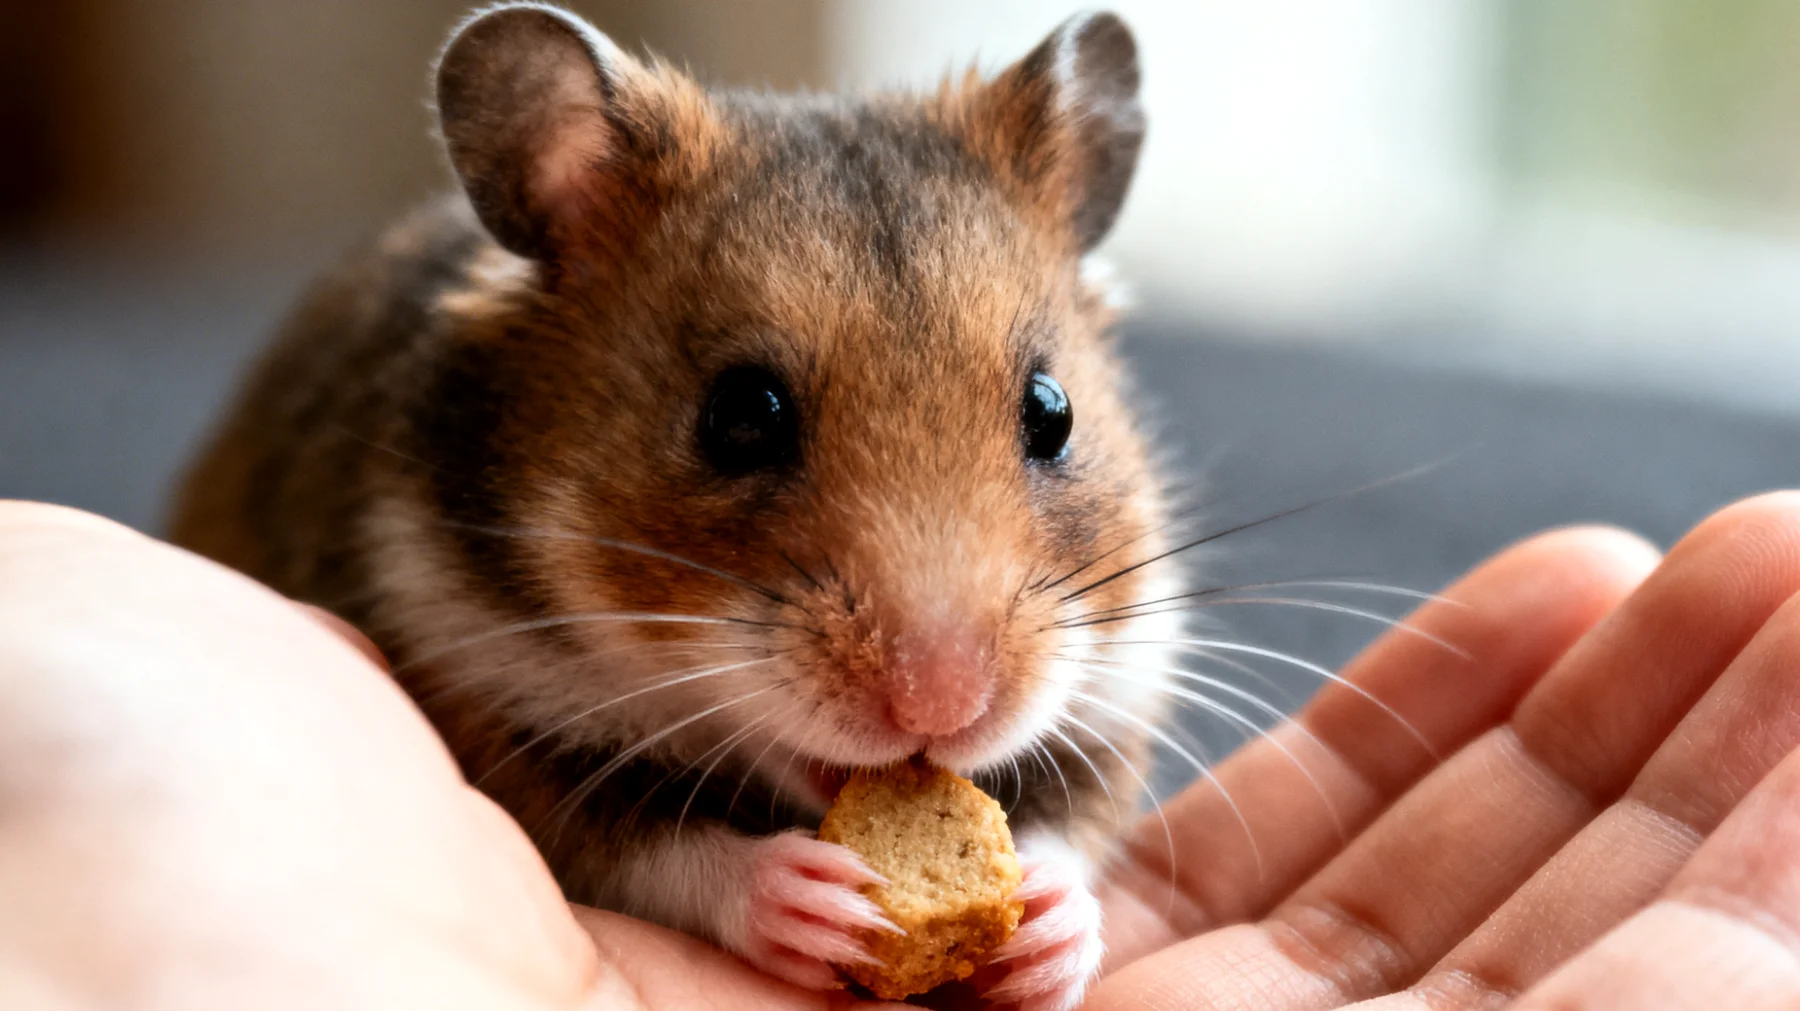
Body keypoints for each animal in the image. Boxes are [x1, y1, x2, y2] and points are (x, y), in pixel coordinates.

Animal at [169, 4, 1180, 1007]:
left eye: (1053, 411)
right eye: (742, 416)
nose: (943, 704)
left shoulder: (1116, 703)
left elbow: (1074, 828)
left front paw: (1045, 922)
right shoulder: (493, 718)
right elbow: (657, 853)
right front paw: (816, 902)